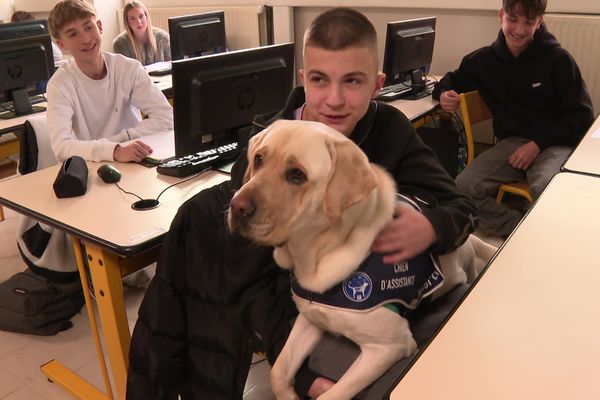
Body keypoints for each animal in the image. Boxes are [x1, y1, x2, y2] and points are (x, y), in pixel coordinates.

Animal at [227, 119, 494, 400]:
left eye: (297, 174)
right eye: (258, 159)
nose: (237, 206)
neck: (318, 255)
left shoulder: (389, 345)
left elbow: (332, 395)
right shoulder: (310, 318)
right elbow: (279, 371)